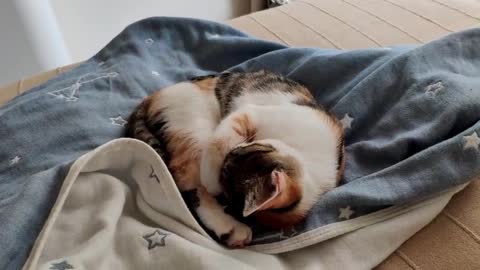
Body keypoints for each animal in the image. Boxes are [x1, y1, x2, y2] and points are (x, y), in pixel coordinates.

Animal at [126, 70, 344, 248]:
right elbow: (220, 140)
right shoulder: (252, 112)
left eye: (237, 156)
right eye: (243, 149)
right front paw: (211, 180)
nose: (232, 153)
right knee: (185, 178)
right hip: (195, 124)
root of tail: (152, 96)